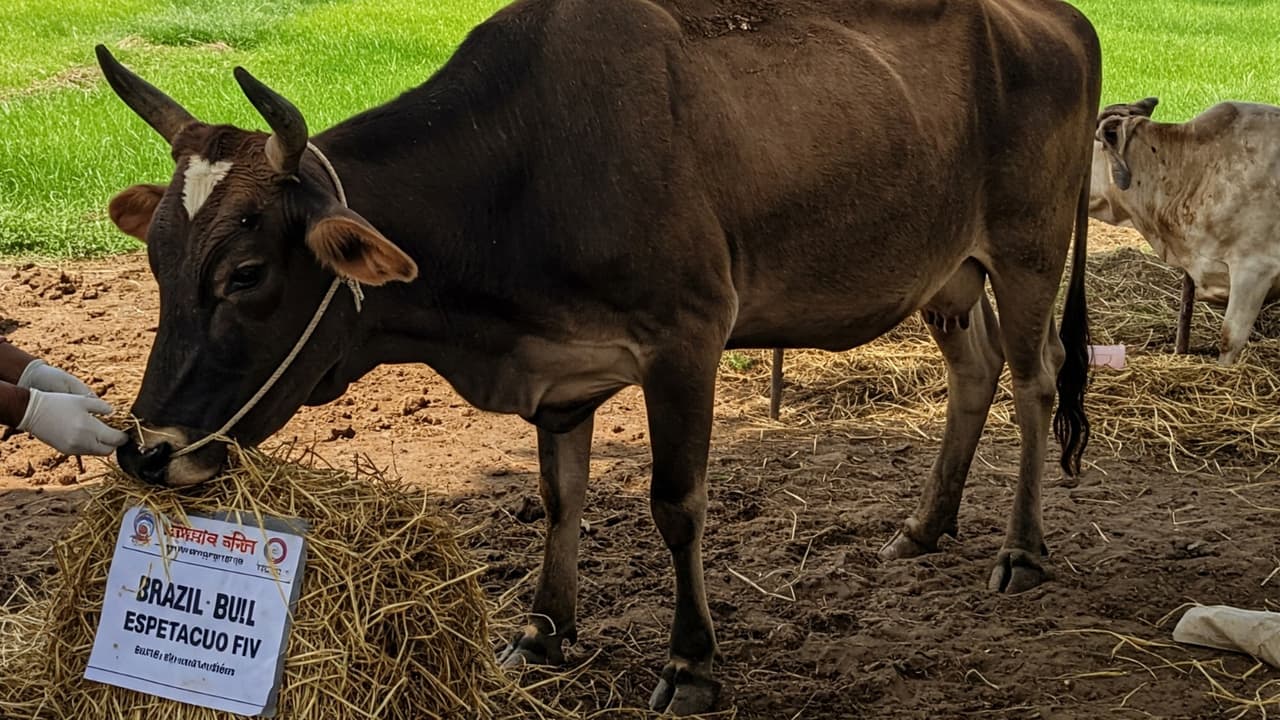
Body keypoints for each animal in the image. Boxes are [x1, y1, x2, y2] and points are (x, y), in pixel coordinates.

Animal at [96, 0, 1099, 713]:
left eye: (246, 273)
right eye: (157, 261)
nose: (145, 450)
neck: (520, 176)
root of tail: (1055, 16)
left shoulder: (688, 337)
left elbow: (676, 505)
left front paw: (692, 664)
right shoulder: (560, 372)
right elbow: (558, 495)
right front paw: (544, 630)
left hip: (1028, 248)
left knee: (1035, 383)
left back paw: (1022, 549)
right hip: (947, 274)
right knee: (974, 376)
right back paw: (926, 526)